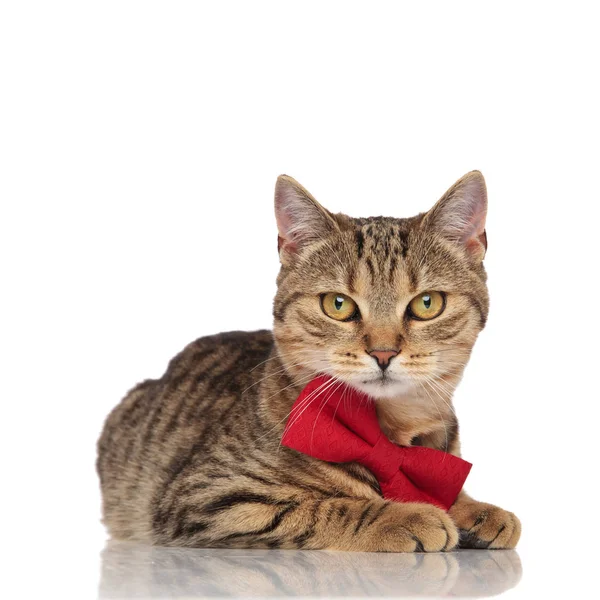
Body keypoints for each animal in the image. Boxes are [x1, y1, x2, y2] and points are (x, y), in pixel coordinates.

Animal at [97, 171, 520, 552]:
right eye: (338, 304)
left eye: (427, 303)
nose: (383, 352)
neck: (392, 433)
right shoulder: (211, 498)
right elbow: (328, 507)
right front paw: (405, 515)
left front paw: (475, 509)